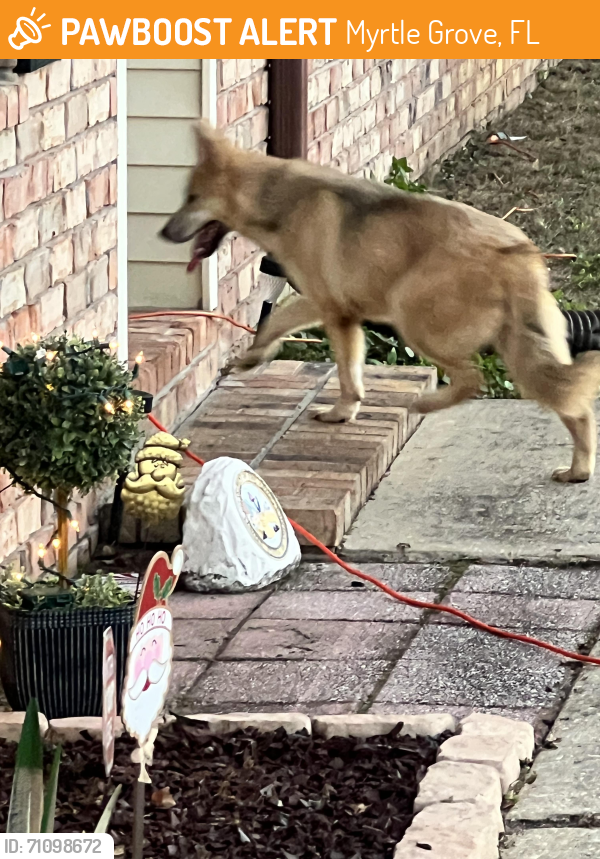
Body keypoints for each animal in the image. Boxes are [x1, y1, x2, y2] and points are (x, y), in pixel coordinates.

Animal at [162, 121, 600, 484]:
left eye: (192, 197)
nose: (163, 233)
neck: (274, 196)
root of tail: (516, 252)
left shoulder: (332, 310)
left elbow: (332, 361)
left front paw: (337, 409)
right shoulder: (329, 305)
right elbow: (283, 327)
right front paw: (258, 359)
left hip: (415, 320)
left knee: (473, 378)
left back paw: (427, 403)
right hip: (522, 349)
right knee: (574, 408)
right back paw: (579, 470)